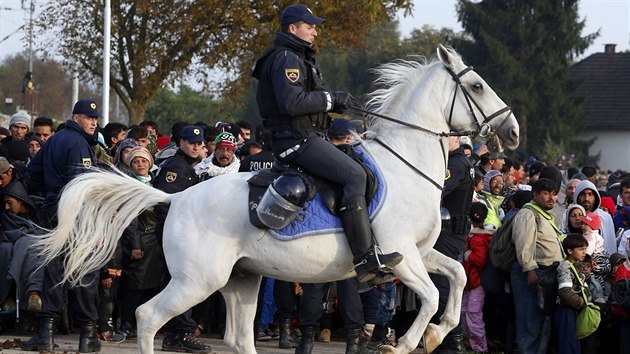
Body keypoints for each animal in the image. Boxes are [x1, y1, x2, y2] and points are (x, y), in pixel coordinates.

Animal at [39, 44, 520, 354]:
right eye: (477, 86)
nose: (513, 131)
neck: (407, 164)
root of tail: (175, 198)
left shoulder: (418, 252)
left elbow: (457, 276)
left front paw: (438, 335)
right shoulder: (399, 255)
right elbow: (434, 297)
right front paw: (403, 343)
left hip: (242, 280)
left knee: (237, 338)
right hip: (197, 281)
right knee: (147, 318)